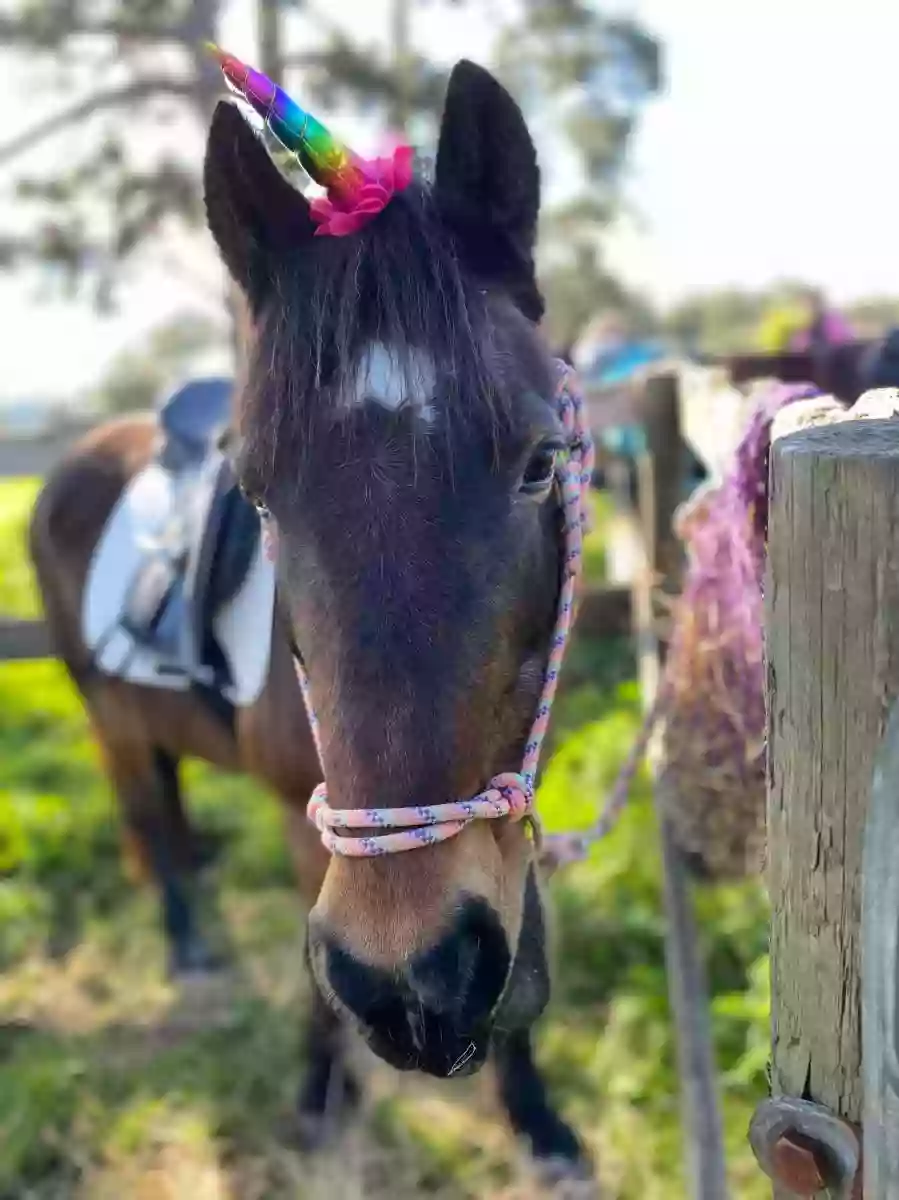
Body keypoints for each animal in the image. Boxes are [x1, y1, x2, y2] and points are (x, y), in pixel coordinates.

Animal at [28, 58, 592, 1180]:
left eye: (539, 462)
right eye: (257, 492)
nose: (412, 977)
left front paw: (538, 1123)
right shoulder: (311, 822)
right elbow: (320, 993)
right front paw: (320, 1097)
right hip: (104, 716)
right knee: (150, 819)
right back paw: (192, 950)